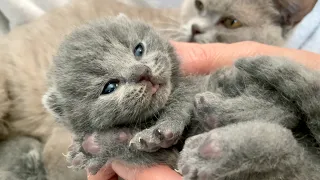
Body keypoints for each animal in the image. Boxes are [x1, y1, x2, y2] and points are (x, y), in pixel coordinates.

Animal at [43, 15, 320, 180]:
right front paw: (95, 147)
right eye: (109, 87)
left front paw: (159, 129)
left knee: (284, 112)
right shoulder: (156, 157)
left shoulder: (192, 86)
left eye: (138, 50)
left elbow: (179, 103)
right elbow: (139, 152)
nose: (142, 72)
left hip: (245, 80)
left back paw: (214, 129)